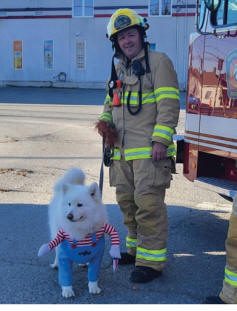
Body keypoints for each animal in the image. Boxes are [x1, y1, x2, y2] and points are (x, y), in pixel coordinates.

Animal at [39, 169, 121, 298]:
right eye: (69, 204)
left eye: (80, 205)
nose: (69, 216)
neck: (81, 228)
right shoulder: (64, 253)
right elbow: (65, 276)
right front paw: (67, 291)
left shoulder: (96, 255)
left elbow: (93, 274)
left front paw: (94, 287)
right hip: (56, 233)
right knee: (56, 250)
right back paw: (56, 264)